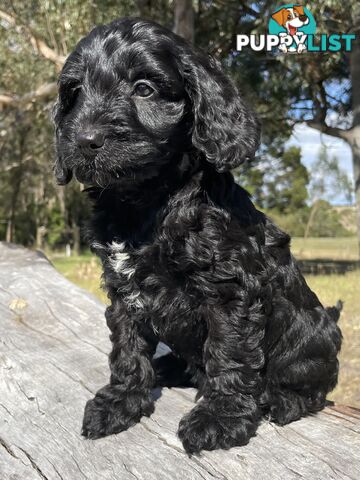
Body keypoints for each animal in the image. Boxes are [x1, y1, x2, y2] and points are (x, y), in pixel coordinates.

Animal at [52, 17, 340, 454]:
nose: (84, 140)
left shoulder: (230, 289)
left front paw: (220, 417)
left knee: (313, 385)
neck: (146, 202)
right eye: (75, 92)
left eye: (144, 89)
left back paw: (281, 399)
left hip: (311, 339)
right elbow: (127, 348)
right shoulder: (123, 290)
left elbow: (229, 353)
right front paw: (120, 401)